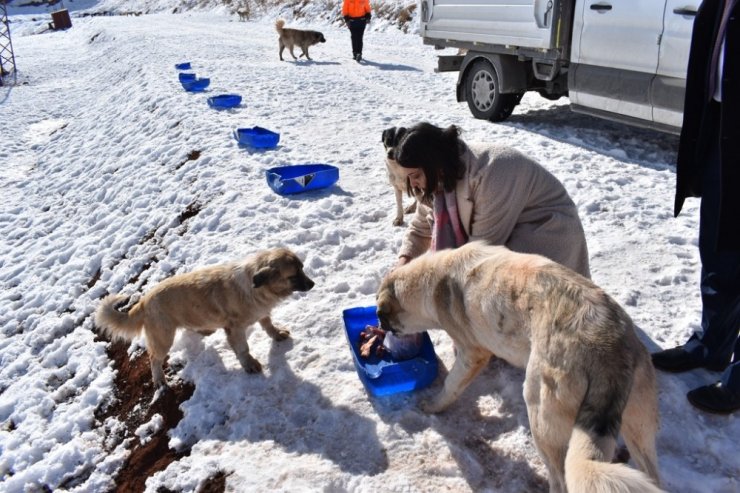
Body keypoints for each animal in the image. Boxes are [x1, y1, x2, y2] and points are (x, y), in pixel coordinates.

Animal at [94, 248, 314, 386]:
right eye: (293, 276)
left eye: (302, 268)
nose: (312, 284)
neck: (255, 287)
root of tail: (144, 301)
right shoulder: (234, 329)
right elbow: (243, 349)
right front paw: (249, 365)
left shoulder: (262, 313)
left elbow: (268, 325)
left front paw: (277, 334)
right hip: (163, 337)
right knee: (154, 358)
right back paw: (159, 381)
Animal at [378, 242, 660, 492]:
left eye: (382, 316)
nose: (380, 328)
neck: (433, 280)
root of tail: (606, 351)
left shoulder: (472, 354)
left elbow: (450, 386)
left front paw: (432, 406)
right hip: (639, 430)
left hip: (541, 416)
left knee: (560, 479)